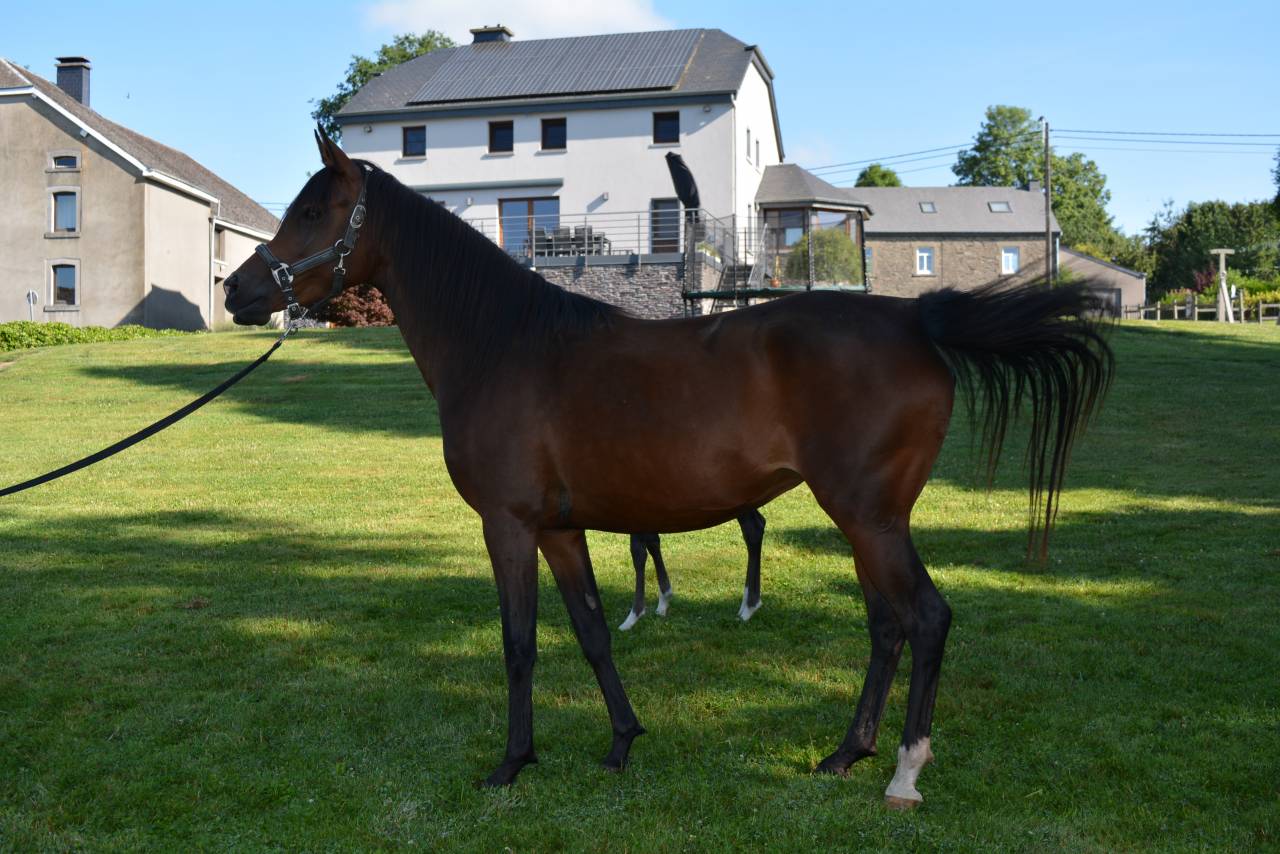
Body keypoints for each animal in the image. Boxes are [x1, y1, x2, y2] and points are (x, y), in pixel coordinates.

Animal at [621, 509, 766, 630]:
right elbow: (652, 542)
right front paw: (663, 600)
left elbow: (638, 552)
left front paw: (633, 617)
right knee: (757, 526)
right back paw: (746, 605)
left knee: (753, 528)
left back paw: (749, 608)